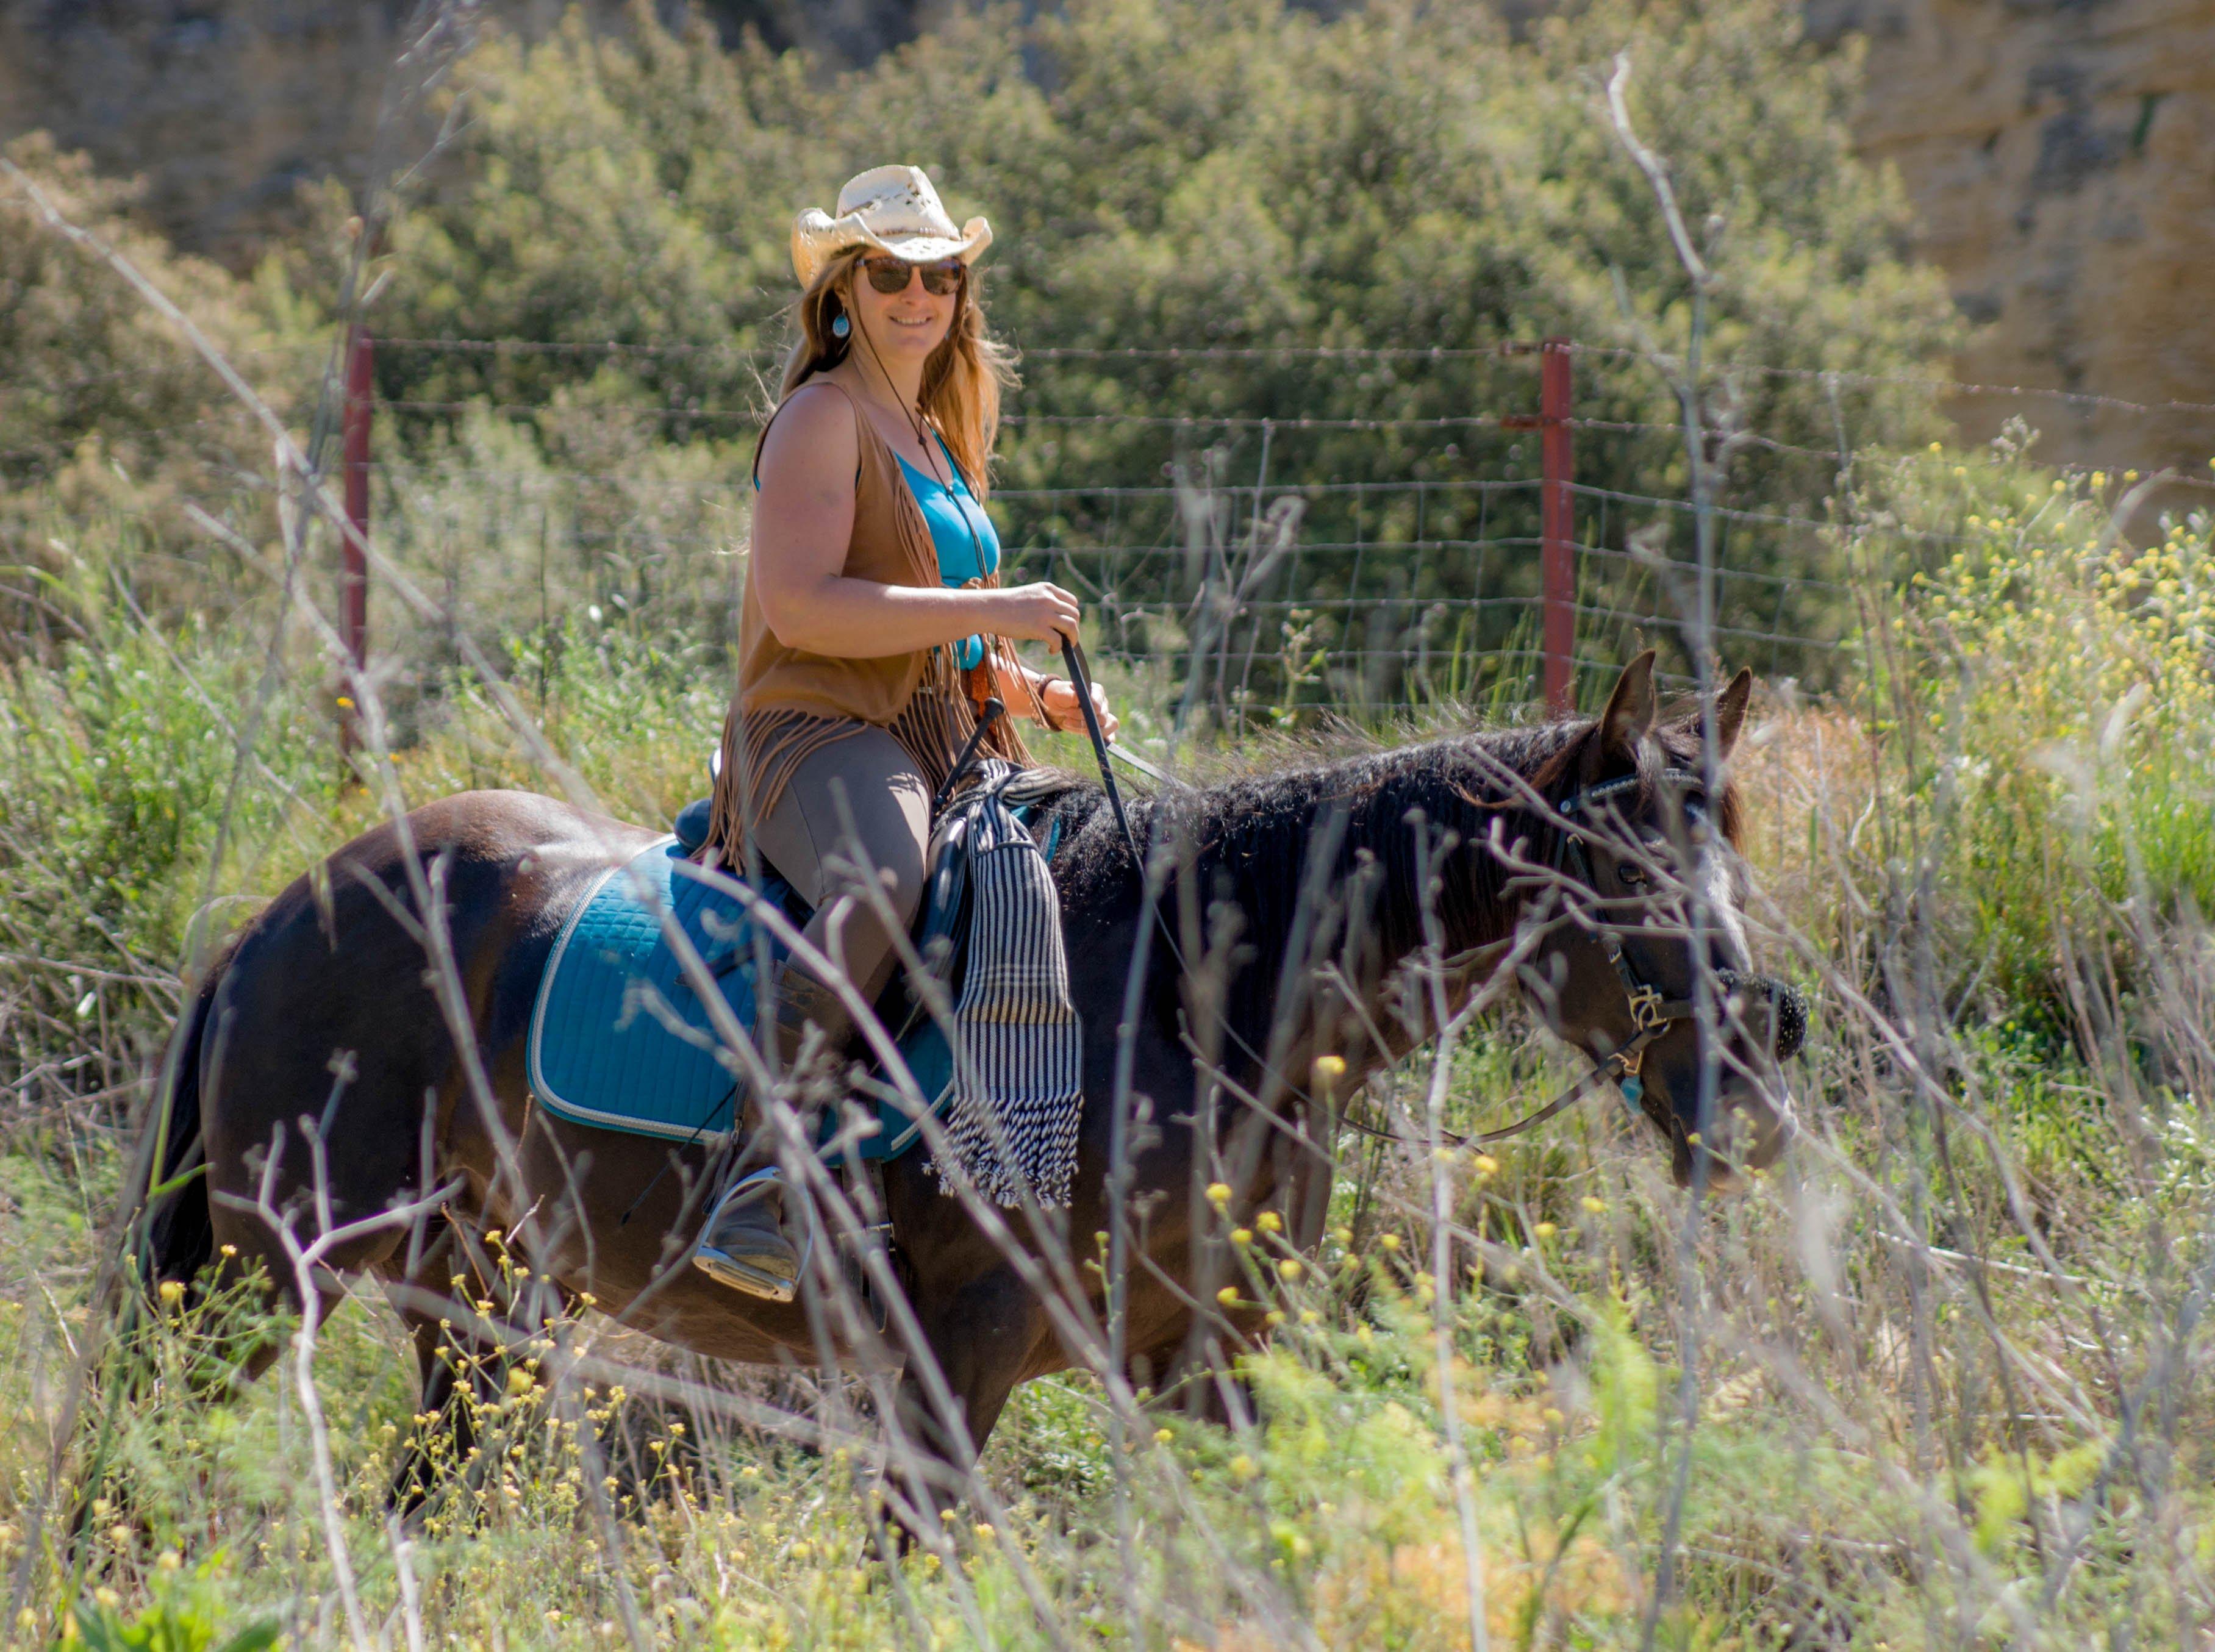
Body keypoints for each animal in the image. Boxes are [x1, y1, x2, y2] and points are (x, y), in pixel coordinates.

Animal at [138, 652, 1802, 1522]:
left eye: (1730, 847)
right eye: (1627, 873)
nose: (1756, 1089)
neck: (1188, 1003)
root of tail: (285, 916)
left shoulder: (1215, 1368)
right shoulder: (956, 1367)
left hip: (470, 1304)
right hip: (260, 1281)